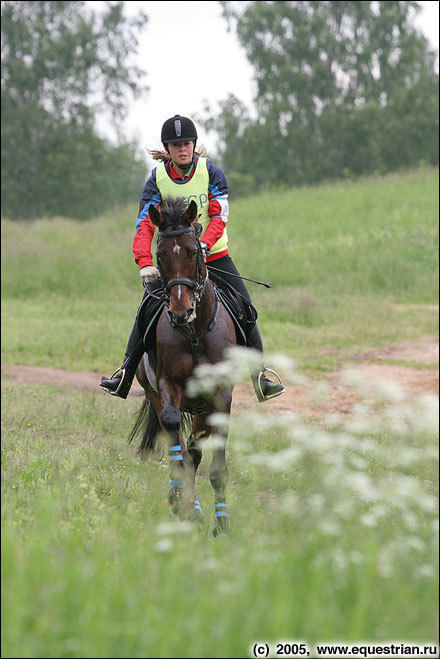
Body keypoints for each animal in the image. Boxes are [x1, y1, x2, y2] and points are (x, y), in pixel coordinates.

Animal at [129, 196, 239, 536]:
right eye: (160, 255)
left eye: (192, 250)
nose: (180, 311)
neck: (193, 331)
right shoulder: (169, 386)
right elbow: (177, 446)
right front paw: (184, 506)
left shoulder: (220, 394)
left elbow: (214, 466)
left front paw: (222, 524)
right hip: (156, 391)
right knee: (181, 445)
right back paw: (184, 503)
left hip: (204, 407)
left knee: (195, 447)